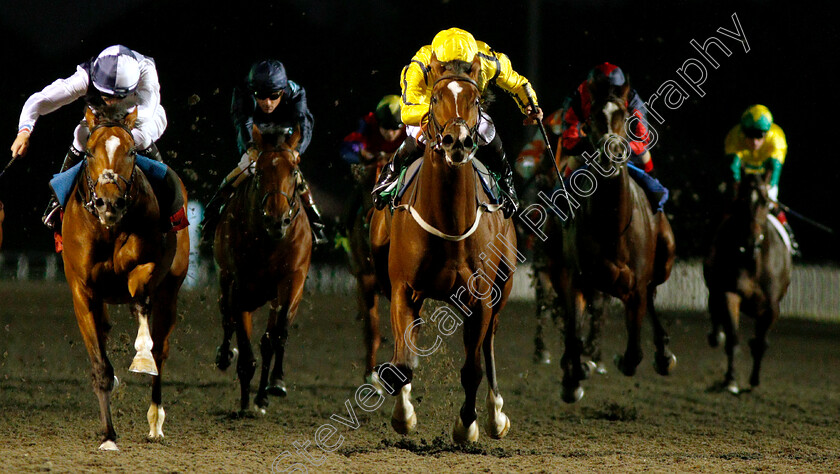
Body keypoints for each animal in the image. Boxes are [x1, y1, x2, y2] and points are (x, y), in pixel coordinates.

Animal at [62, 106, 190, 448]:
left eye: (131, 151)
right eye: (89, 152)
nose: (109, 202)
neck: (108, 229)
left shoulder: (147, 267)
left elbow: (139, 299)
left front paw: (141, 355)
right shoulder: (82, 291)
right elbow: (100, 365)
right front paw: (108, 435)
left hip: (171, 290)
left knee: (161, 347)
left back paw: (155, 419)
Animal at [213, 125, 312, 412]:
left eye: (293, 170)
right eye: (259, 171)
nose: (277, 220)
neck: (269, 243)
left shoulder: (292, 281)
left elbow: (276, 336)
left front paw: (273, 385)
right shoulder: (238, 286)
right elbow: (242, 338)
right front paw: (246, 398)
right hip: (226, 282)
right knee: (226, 318)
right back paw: (225, 356)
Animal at [370, 55, 516, 444]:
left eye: (475, 99)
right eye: (435, 98)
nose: (457, 141)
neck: (449, 222)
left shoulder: (480, 298)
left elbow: (472, 368)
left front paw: (467, 425)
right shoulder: (403, 289)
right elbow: (402, 364)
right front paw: (403, 416)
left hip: (504, 285)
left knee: (489, 344)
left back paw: (496, 414)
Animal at [544, 87, 676, 402]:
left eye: (625, 116)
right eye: (591, 118)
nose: (611, 155)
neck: (612, 227)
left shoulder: (636, 286)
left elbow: (634, 353)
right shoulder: (573, 278)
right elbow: (573, 332)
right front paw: (574, 375)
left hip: (665, 258)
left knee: (653, 292)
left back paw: (664, 354)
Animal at [704, 169, 792, 392]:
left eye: (764, 201)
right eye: (742, 200)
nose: (751, 241)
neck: (753, 261)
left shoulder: (772, 307)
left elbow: (760, 343)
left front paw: (754, 381)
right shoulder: (730, 293)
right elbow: (733, 338)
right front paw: (730, 379)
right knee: (715, 309)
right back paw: (716, 335)